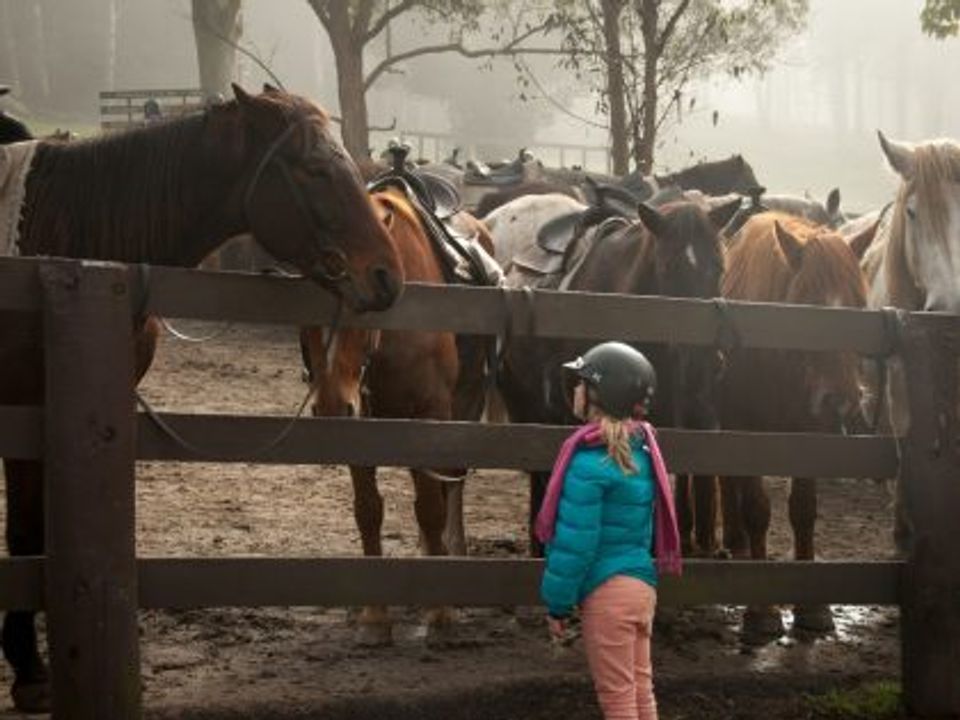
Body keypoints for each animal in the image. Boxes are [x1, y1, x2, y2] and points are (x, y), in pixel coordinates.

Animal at [720, 211, 872, 640]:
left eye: (859, 306)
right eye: (808, 304)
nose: (841, 400)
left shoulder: (811, 434)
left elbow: (804, 509)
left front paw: (812, 607)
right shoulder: (744, 429)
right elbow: (757, 509)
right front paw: (761, 610)